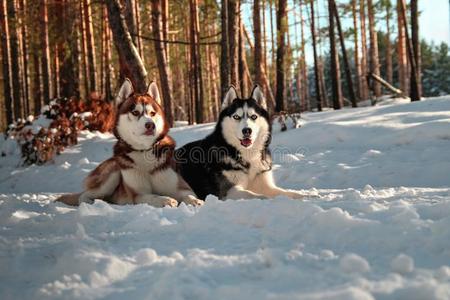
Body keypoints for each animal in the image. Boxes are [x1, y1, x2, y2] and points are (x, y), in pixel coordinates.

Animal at [57, 78, 202, 207]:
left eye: (152, 113)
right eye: (135, 112)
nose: (150, 125)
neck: (144, 152)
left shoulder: (181, 187)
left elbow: (189, 195)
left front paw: (196, 201)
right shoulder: (137, 195)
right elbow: (153, 196)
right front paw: (166, 200)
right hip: (113, 173)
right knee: (84, 195)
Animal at [175, 85, 306, 200]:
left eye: (254, 116)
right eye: (236, 117)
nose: (247, 130)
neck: (248, 155)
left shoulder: (265, 184)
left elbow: (286, 192)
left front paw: (306, 196)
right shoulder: (228, 191)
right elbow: (255, 195)